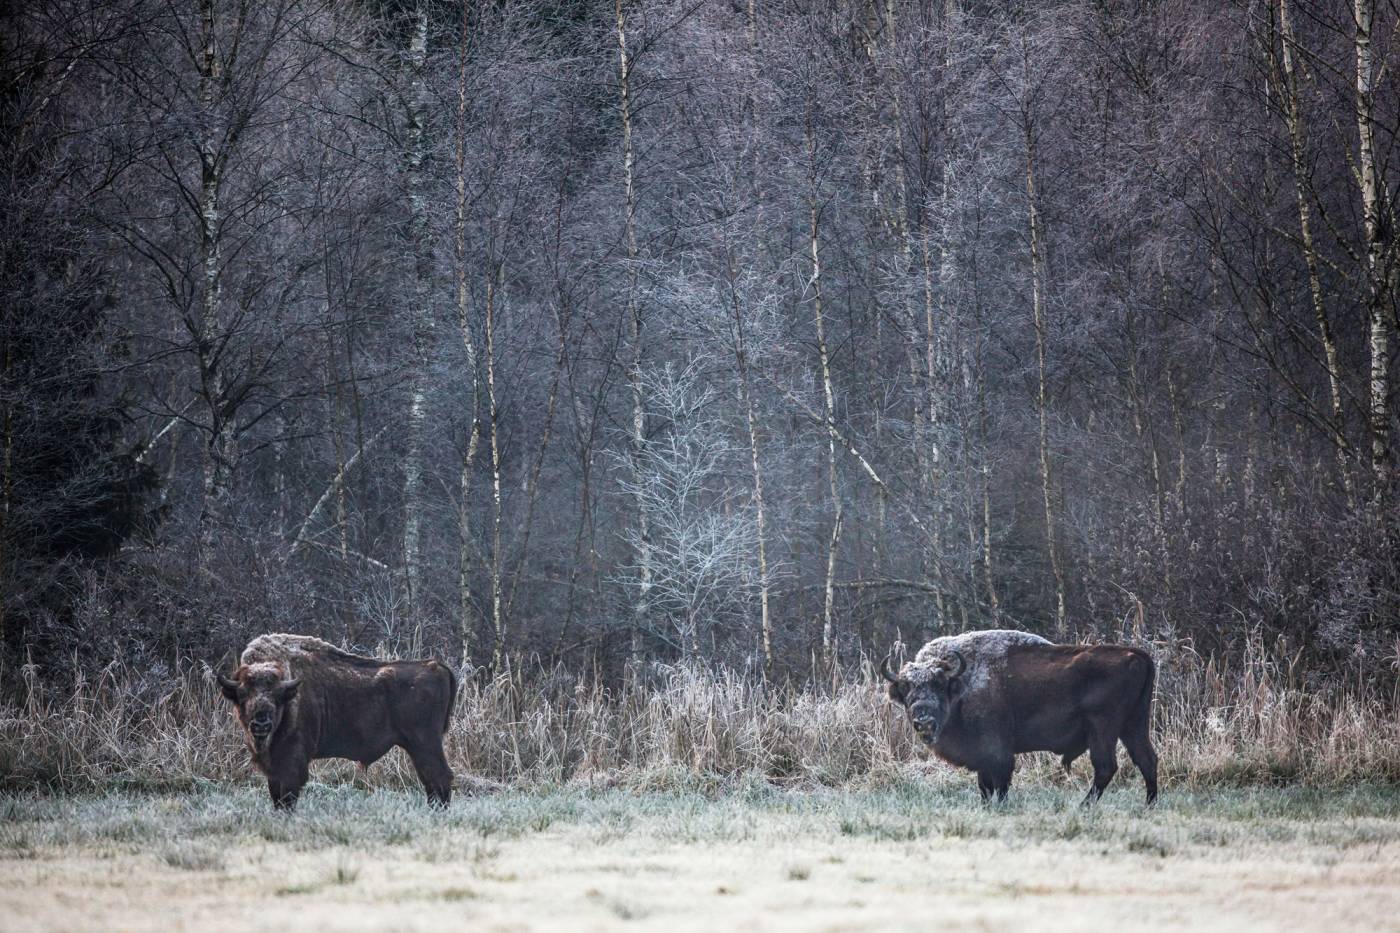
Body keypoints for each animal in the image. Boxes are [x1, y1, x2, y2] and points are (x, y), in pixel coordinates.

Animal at [218, 633, 456, 806]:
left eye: (277, 696)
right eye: (242, 695)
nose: (261, 724)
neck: (290, 690)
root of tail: (435, 666)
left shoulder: (291, 760)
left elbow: (287, 795)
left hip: (424, 744)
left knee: (439, 778)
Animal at [884, 627, 1159, 801]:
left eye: (940, 685)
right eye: (906, 688)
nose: (924, 721)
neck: (963, 682)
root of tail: (1135, 655)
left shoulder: (996, 752)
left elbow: (999, 784)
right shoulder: (982, 758)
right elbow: (985, 787)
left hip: (1103, 729)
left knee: (1105, 766)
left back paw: (1084, 807)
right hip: (1134, 724)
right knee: (1147, 759)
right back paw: (1149, 805)